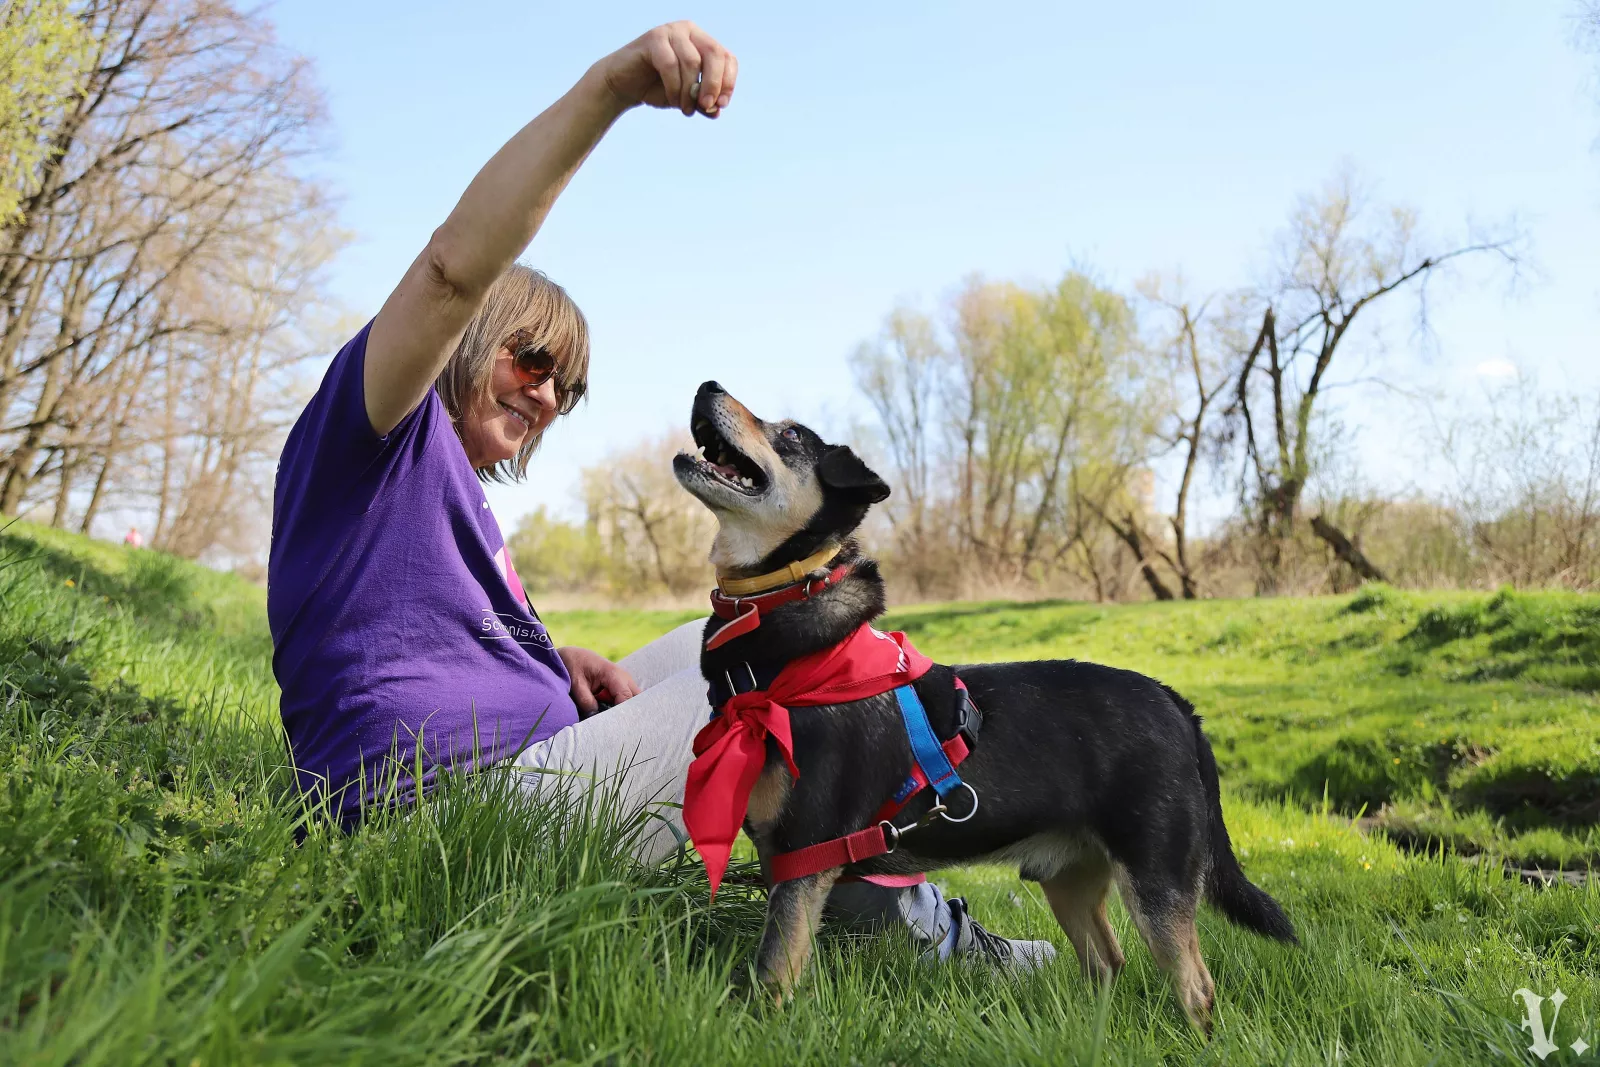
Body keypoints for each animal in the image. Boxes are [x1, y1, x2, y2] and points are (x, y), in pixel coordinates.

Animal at [672, 380, 1296, 1032]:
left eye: (791, 433)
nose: (707, 386)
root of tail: (1176, 703)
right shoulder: (785, 860)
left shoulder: (806, 855)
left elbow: (773, 971)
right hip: (1071, 879)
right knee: (1107, 961)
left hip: (1157, 877)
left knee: (1196, 986)